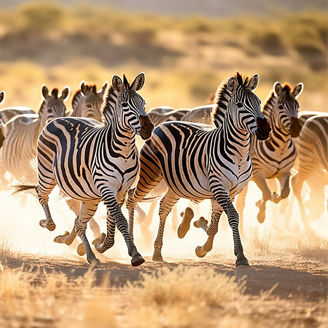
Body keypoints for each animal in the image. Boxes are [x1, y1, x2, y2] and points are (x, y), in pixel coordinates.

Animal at [13, 73, 154, 266]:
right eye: (125, 105)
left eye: (143, 103)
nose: (148, 128)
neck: (123, 149)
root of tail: (56, 119)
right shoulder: (106, 187)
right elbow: (120, 220)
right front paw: (134, 254)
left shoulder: (121, 190)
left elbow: (112, 220)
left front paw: (102, 245)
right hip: (47, 174)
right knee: (40, 192)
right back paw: (48, 223)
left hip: (90, 197)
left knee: (79, 222)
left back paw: (89, 254)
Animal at [125, 73, 270, 266]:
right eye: (240, 105)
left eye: (259, 102)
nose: (265, 130)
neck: (238, 153)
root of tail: (163, 124)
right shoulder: (218, 186)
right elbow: (233, 216)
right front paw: (240, 255)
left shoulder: (230, 191)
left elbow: (215, 224)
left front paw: (202, 247)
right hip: (152, 176)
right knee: (132, 198)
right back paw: (134, 247)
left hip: (174, 184)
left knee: (164, 206)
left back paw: (157, 252)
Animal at [236, 82, 302, 227]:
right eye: (281, 107)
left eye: (298, 106)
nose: (296, 129)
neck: (280, 147)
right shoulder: (257, 173)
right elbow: (266, 194)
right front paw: (260, 213)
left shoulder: (285, 173)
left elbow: (285, 193)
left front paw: (275, 198)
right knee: (240, 204)